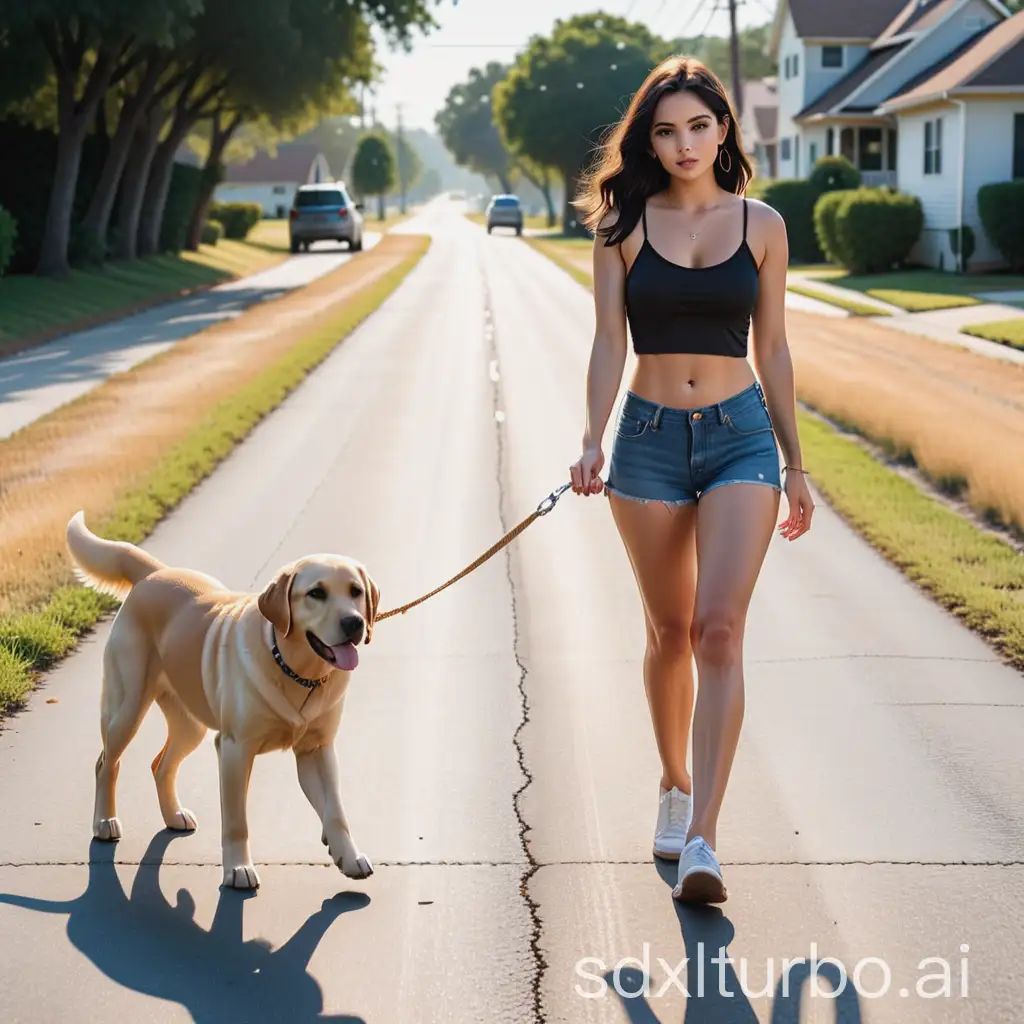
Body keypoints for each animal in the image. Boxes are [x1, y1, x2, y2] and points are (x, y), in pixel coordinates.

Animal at [67, 509, 380, 888]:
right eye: (316, 593)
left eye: (355, 591)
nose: (354, 623)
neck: (296, 670)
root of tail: (155, 573)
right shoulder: (234, 748)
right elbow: (236, 821)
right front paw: (239, 869)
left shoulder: (317, 749)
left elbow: (335, 810)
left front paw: (347, 854)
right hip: (126, 708)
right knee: (105, 763)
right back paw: (104, 822)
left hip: (191, 727)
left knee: (161, 764)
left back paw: (173, 814)